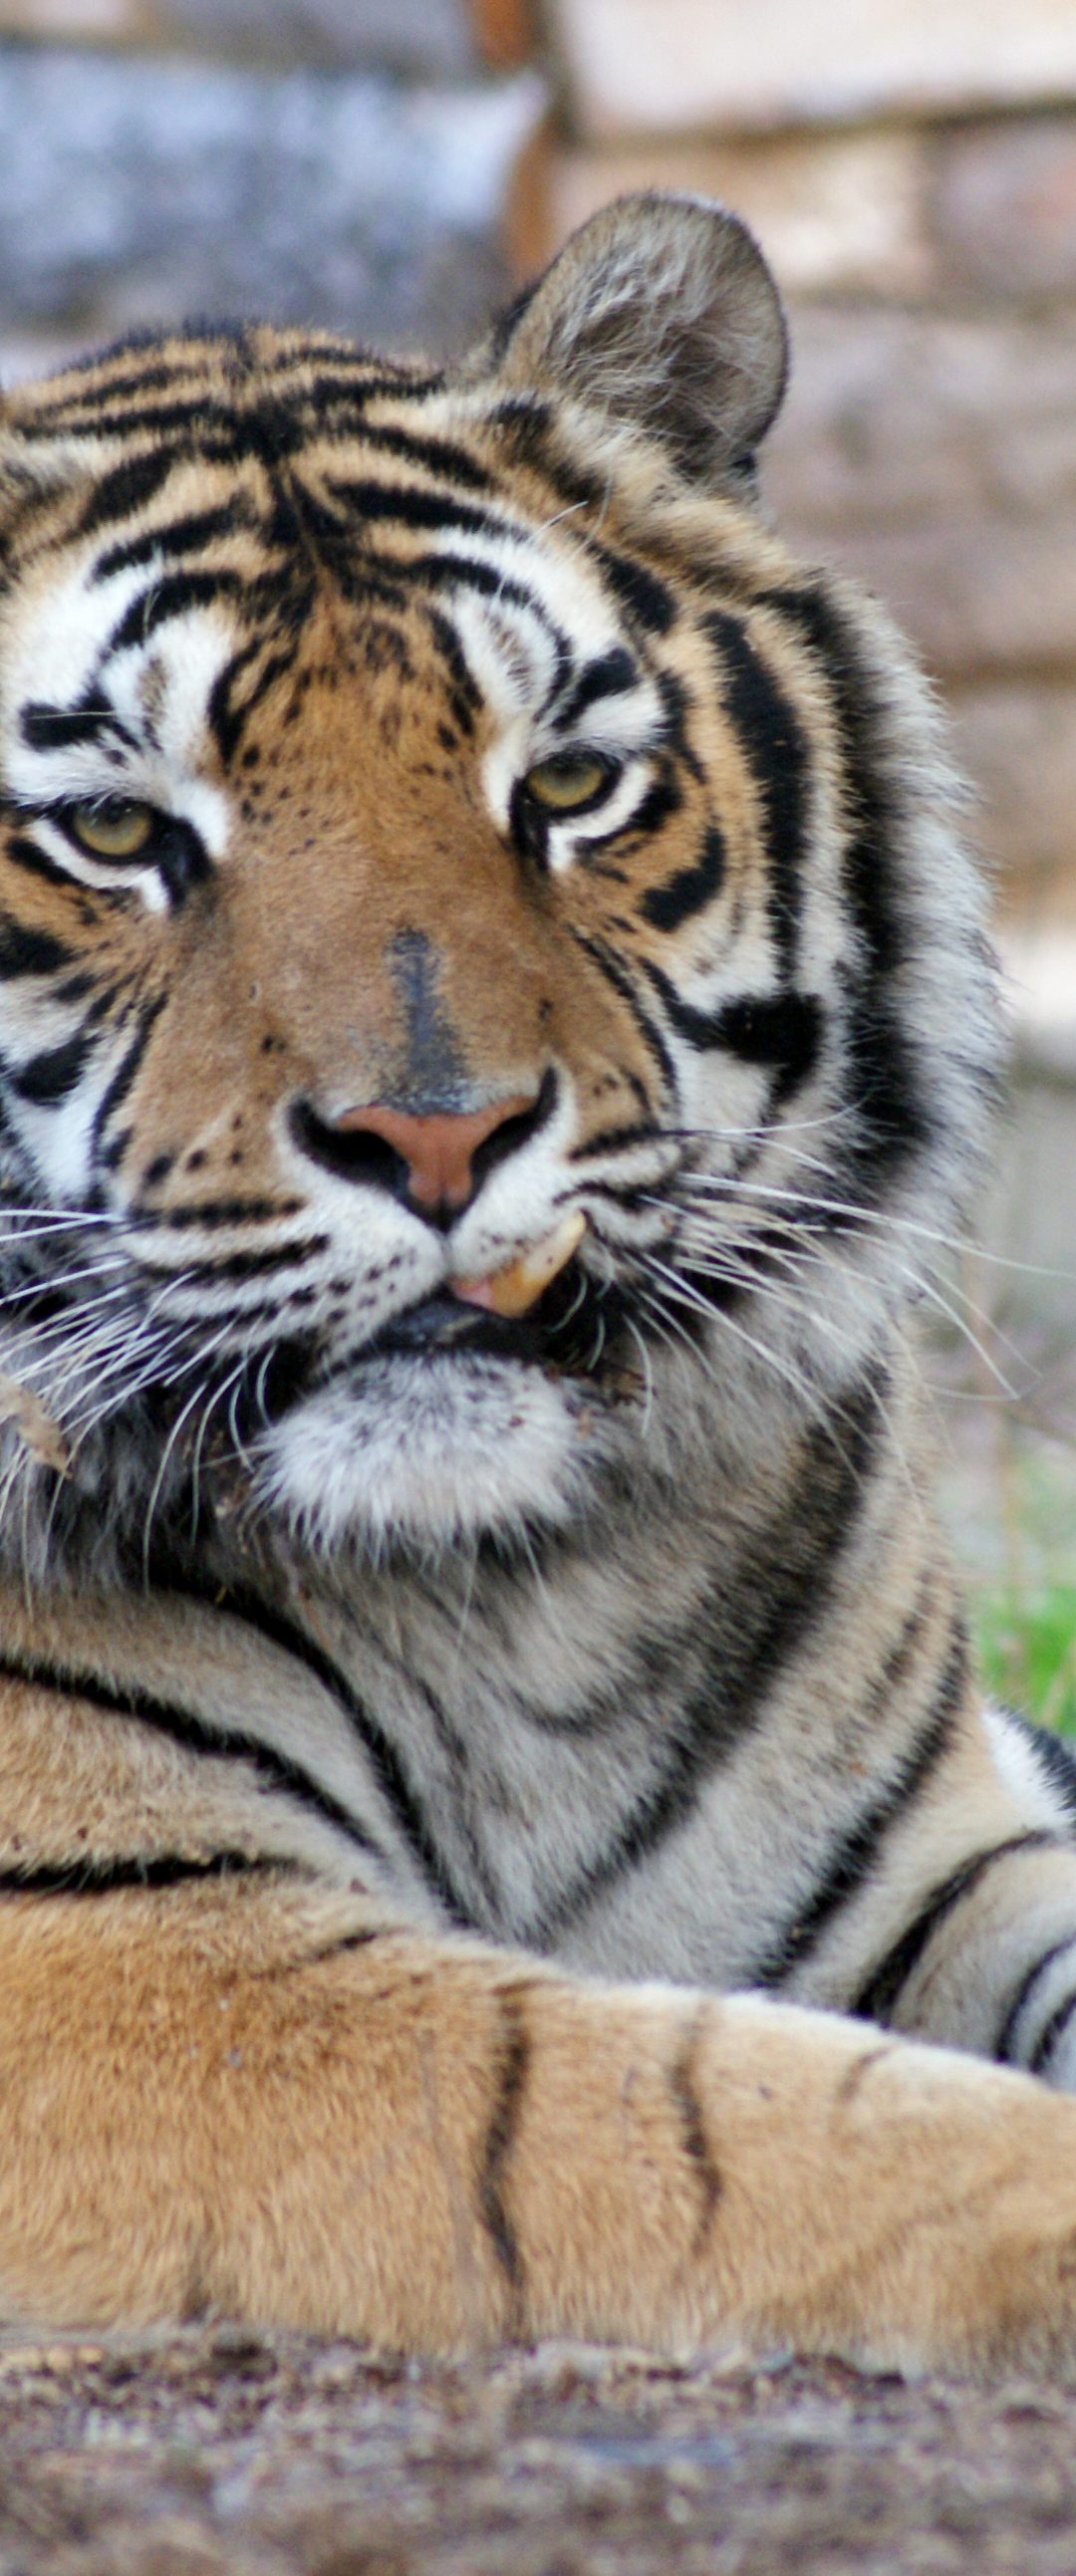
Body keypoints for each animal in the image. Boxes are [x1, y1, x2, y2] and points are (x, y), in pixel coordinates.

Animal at [1, 188, 1076, 2375]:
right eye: (117, 832)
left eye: (566, 789)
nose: (438, 1138)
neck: (511, 1599)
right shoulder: (129, 1956)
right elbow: (734, 2123)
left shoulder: (946, 1850)